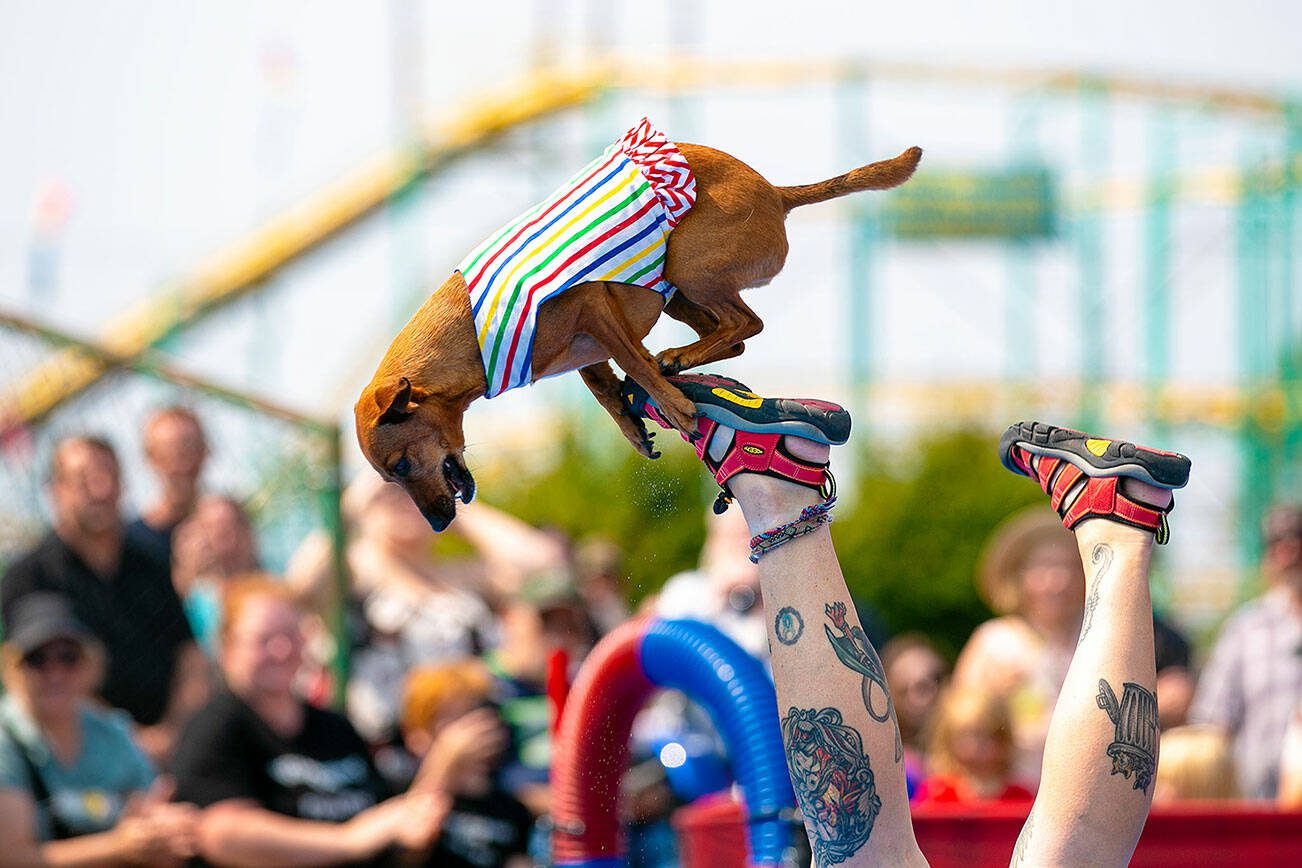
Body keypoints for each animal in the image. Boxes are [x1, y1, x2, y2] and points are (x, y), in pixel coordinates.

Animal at [359, 138, 927, 530]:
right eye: (392, 475)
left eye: (403, 464)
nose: (437, 523)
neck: (468, 336)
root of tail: (777, 193)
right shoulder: (587, 345)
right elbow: (604, 384)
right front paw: (633, 422)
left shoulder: (591, 304)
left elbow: (630, 360)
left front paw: (672, 406)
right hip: (677, 292)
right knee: (734, 335)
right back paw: (683, 361)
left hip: (686, 265)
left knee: (743, 324)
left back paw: (678, 362)